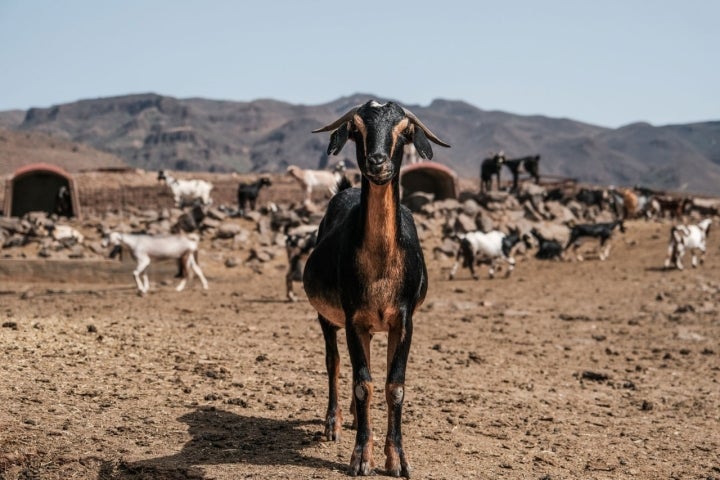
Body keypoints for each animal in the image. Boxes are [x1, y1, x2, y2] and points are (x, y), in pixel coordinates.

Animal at [306, 100, 450, 476]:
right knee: (334, 363)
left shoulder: (403, 320)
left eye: (404, 131)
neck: (382, 267)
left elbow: (394, 386)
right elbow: (362, 384)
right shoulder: (353, 319)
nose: (377, 162)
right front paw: (361, 458)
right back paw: (333, 423)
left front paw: (397, 459)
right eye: (357, 129)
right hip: (327, 318)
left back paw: (358, 421)